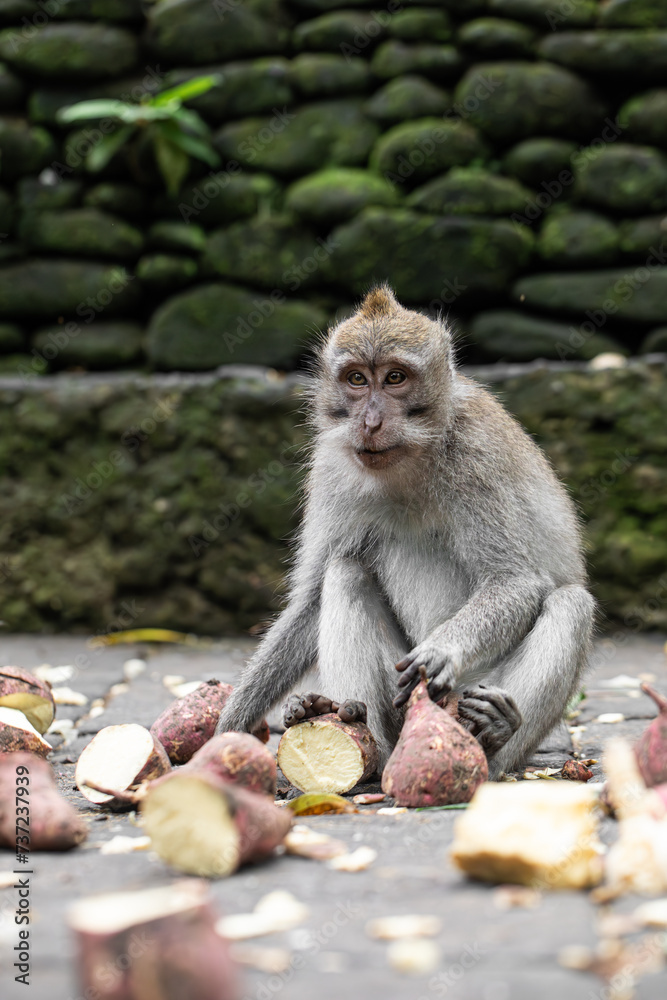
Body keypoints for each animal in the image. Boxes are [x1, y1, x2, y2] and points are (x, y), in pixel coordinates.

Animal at [216, 285, 595, 779]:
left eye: (395, 378)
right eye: (357, 379)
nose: (370, 422)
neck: (410, 457)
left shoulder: (476, 455)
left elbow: (517, 581)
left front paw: (443, 651)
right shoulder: (331, 466)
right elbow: (310, 601)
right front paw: (230, 726)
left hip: (474, 691)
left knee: (571, 605)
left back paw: (492, 738)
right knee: (345, 571)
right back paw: (356, 732)